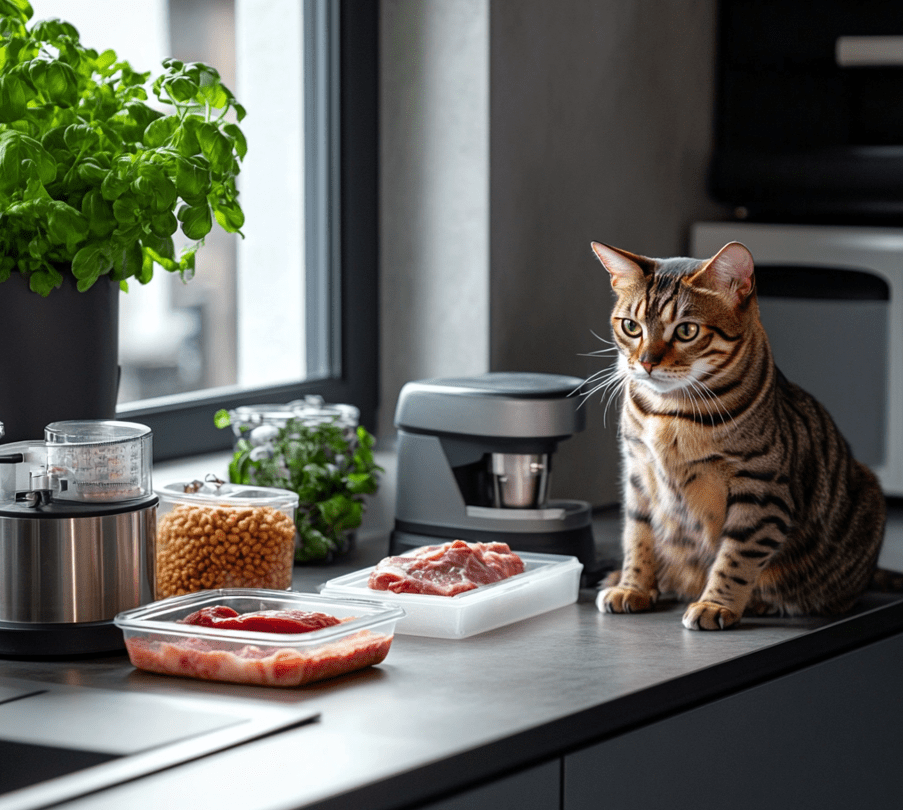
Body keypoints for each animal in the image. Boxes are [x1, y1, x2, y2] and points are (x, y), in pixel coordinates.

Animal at [588, 240, 888, 632]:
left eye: (686, 331)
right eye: (630, 326)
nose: (646, 362)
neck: (669, 412)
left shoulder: (760, 490)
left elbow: (736, 557)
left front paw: (716, 605)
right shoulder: (638, 474)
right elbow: (637, 537)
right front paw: (632, 587)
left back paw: (761, 602)